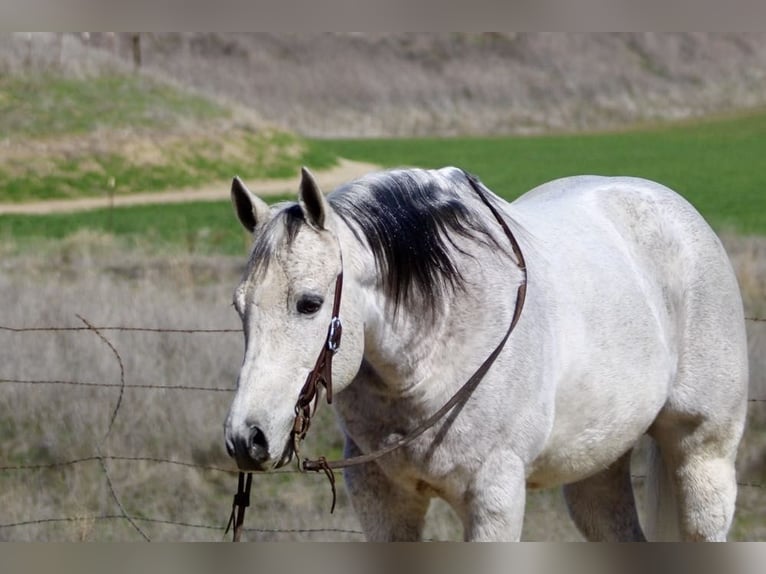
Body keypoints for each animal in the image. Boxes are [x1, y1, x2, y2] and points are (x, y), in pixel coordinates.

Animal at [224, 164, 752, 544]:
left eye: (309, 303)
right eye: (239, 306)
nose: (246, 439)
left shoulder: (494, 496)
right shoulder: (382, 499)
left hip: (702, 453)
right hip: (597, 464)